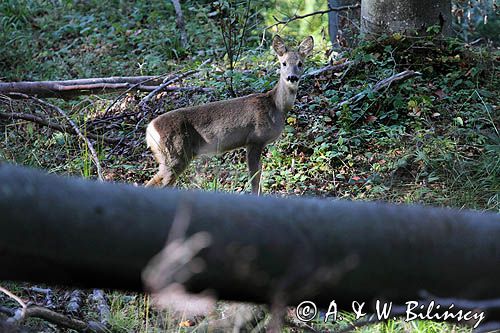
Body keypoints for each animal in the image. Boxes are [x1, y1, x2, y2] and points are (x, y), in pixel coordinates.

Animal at [144, 34, 312, 192]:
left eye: (300, 63)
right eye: (284, 63)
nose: (292, 77)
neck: (275, 106)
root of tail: (149, 130)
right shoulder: (254, 140)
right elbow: (255, 182)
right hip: (175, 155)